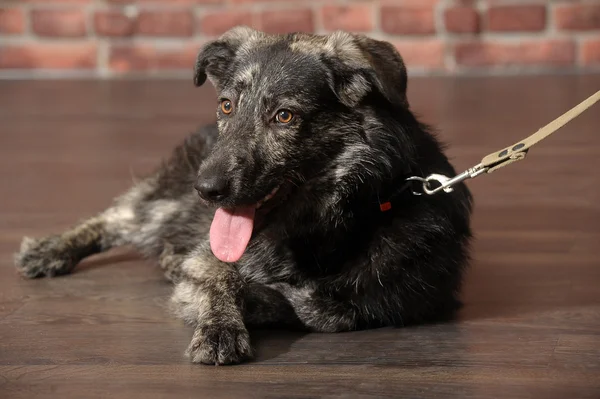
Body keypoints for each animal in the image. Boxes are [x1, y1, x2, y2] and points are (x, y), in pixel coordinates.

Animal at [15, 27, 474, 366]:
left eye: (284, 116)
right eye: (227, 106)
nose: (206, 189)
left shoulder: (400, 296)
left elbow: (324, 309)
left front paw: (264, 299)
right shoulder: (210, 253)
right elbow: (220, 276)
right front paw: (220, 324)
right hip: (166, 203)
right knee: (116, 218)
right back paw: (50, 250)